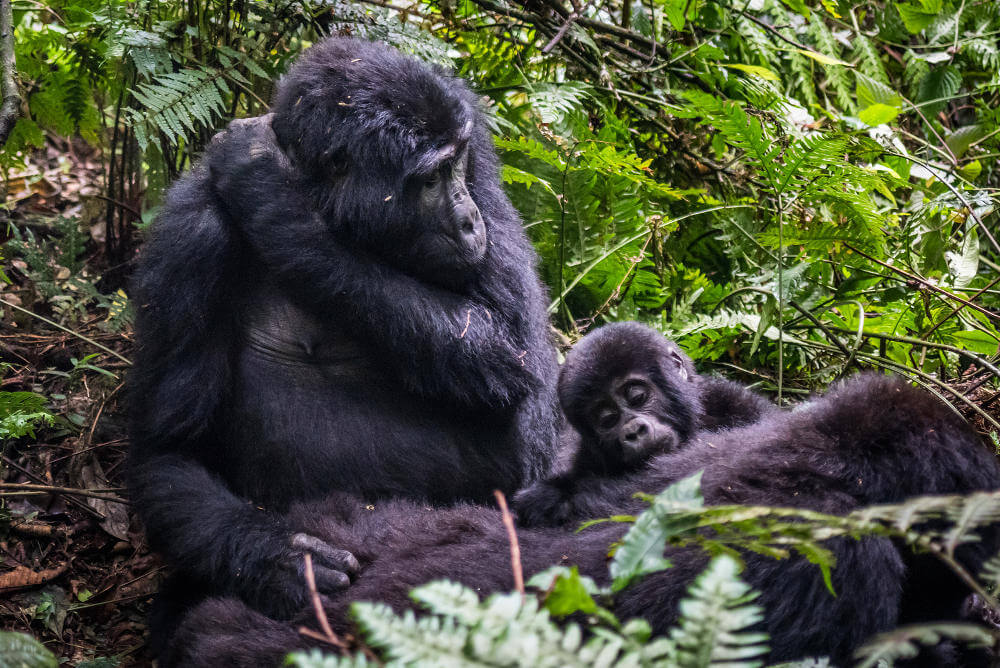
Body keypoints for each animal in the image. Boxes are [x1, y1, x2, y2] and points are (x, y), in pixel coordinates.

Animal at [128, 36, 560, 648]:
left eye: (458, 166)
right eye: (431, 180)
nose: (470, 220)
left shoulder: (478, 146)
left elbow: (515, 346)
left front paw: (266, 191)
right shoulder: (189, 237)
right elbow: (171, 449)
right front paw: (279, 561)